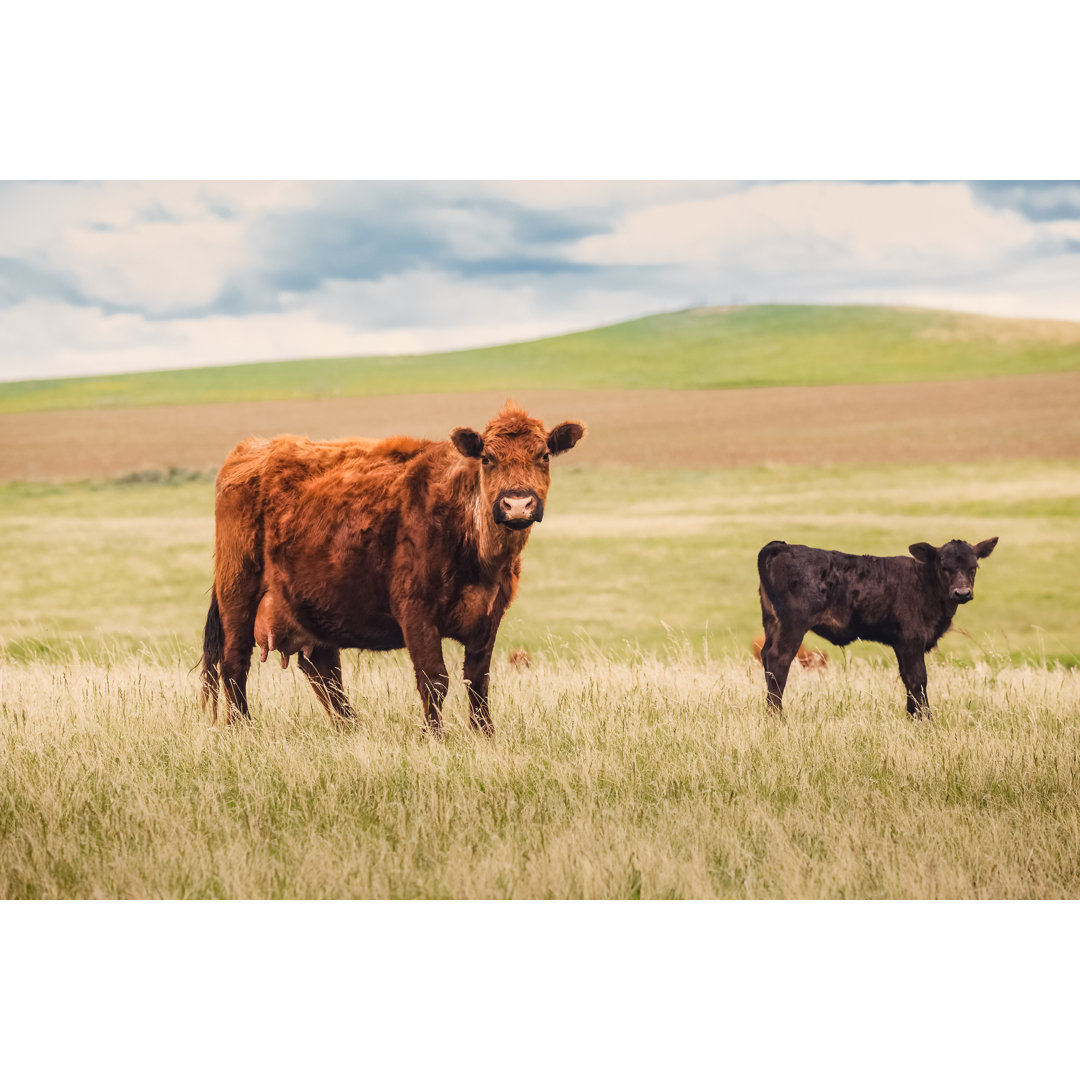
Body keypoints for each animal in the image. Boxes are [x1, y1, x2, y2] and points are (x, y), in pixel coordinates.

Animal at [198, 406, 587, 734]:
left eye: (543, 456)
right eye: (488, 458)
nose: (517, 504)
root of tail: (249, 451)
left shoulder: (488, 617)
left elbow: (478, 682)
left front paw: (485, 735)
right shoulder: (416, 613)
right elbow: (434, 680)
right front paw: (435, 738)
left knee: (323, 671)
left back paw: (351, 728)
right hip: (238, 596)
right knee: (234, 665)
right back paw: (243, 729)